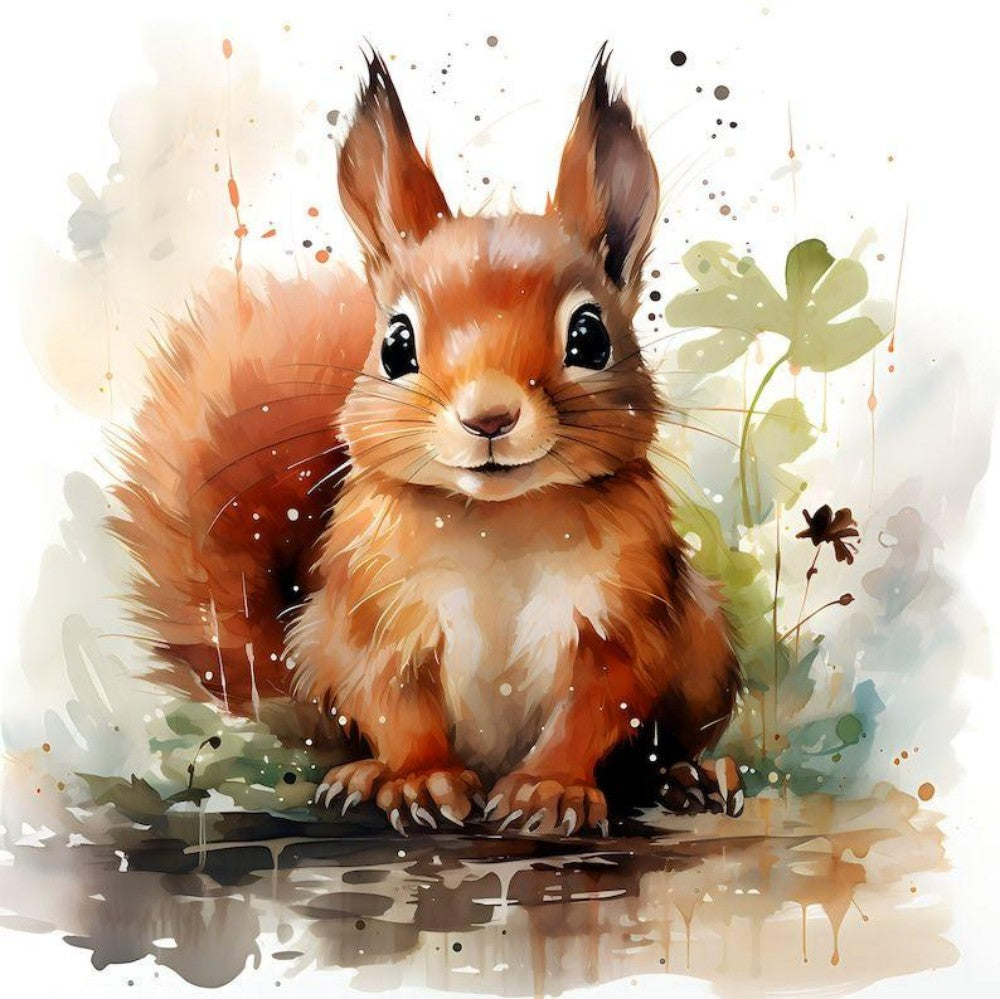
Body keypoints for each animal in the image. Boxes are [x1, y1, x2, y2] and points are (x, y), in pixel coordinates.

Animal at [111, 50, 744, 836]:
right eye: (395, 344)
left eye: (590, 336)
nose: (490, 417)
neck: (499, 522)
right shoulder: (375, 620)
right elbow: (394, 704)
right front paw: (419, 781)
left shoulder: (622, 622)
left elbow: (594, 709)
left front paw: (551, 788)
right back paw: (362, 774)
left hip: (703, 649)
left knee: (656, 751)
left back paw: (691, 775)